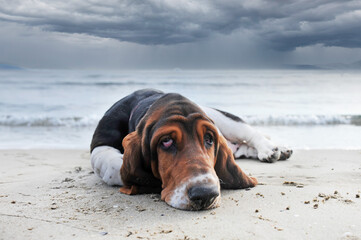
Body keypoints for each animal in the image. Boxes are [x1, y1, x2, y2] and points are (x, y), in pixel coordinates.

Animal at [89, 88, 290, 210]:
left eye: (209, 139)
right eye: (166, 141)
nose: (206, 194)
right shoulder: (99, 144)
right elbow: (115, 166)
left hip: (223, 119)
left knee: (251, 133)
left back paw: (272, 149)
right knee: (244, 147)